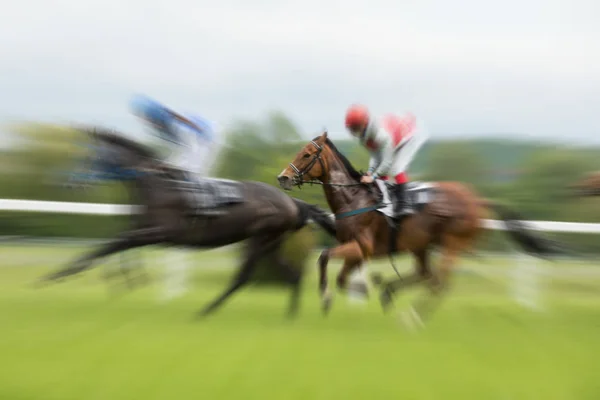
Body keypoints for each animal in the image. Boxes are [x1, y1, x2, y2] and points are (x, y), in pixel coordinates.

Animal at [37, 126, 338, 318]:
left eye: (91, 156)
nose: (71, 184)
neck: (156, 185)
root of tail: (292, 202)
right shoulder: (141, 228)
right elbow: (116, 244)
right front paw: (117, 279)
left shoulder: (159, 232)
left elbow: (113, 243)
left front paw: (58, 274)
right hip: (271, 243)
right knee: (290, 274)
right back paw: (289, 314)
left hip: (261, 238)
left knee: (243, 277)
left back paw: (206, 310)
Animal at [276, 131, 572, 324]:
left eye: (307, 154)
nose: (283, 177)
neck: (355, 199)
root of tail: (477, 199)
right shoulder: (357, 249)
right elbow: (341, 276)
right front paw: (360, 290)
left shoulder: (363, 247)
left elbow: (325, 258)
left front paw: (327, 296)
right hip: (421, 244)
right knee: (426, 274)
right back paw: (388, 290)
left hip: (453, 243)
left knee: (439, 282)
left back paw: (413, 316)